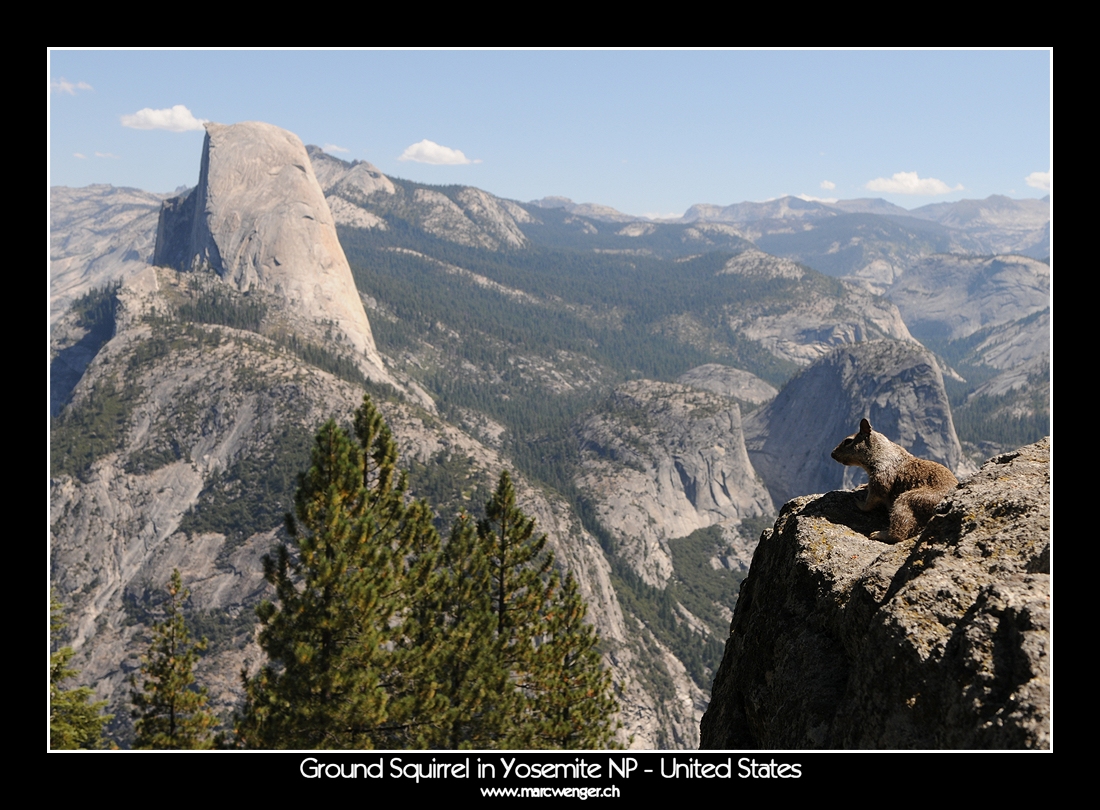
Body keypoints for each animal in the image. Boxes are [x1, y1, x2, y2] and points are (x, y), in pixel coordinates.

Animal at [827, 420, 959, 541]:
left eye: (848, 441)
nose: (832, 454)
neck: (881, 450)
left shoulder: (881, 473)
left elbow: (875, 496)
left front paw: (859, 503)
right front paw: (863, 486)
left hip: (908, 500)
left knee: (899, 534)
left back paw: (879, 534)